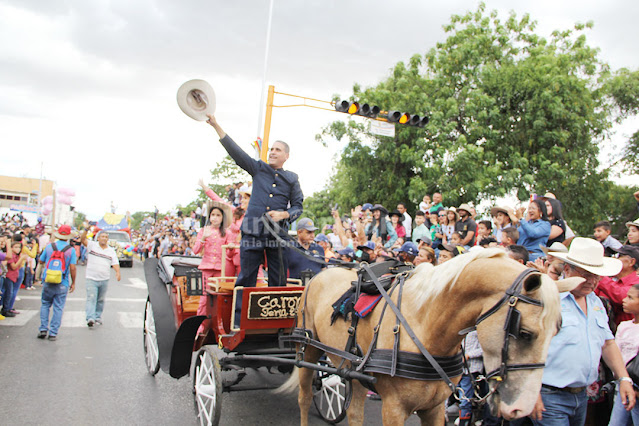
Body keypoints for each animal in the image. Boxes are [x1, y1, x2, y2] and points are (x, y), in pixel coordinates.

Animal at [282, 248, 584, 424]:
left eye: (557, 332)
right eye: (524, 333)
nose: (521, 409)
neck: (424, 321)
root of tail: (317, 274)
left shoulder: (435, 408)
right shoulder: (394, 408)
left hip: (353, 371)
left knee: (354, 413)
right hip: (307, 349)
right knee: (304, 397)